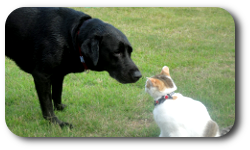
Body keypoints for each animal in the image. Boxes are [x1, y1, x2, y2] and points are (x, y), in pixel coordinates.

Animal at [4, 7, 142, 128]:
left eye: (130, 52)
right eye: (117, 52)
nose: (139, 76)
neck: (72, 35)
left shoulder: (58, 75)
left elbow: (57, 93)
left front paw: (59, 108)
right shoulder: (42, 75)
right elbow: (47, 104)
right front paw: (56, 123)